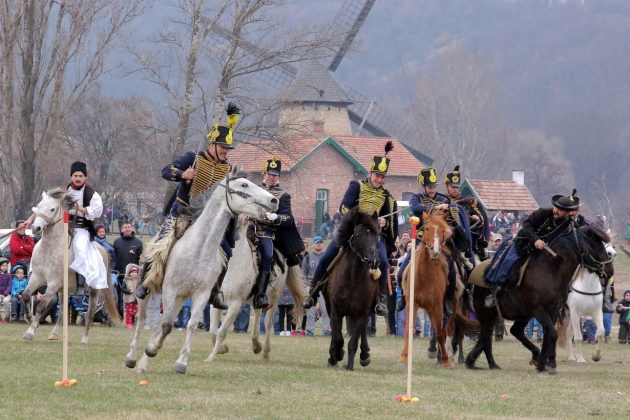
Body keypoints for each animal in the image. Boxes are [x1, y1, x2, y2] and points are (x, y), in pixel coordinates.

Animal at [22, 189, 121, 342]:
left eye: (52, 209)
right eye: (38, 206)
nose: (35, 228)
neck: (50, 249)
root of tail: (103, 249)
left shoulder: (53, 283)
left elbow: (41, 306)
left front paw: (30, 331)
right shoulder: (37, 278)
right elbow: (26, 295)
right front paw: (30, 319)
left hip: (94, 290)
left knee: (90, 313)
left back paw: (84, 339)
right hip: (64, 289)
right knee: (63, 311)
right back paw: (54, 334)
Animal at [126, 167, 278, 374]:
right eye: (244, 185)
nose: (273, 200)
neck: (200, 248)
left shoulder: (203, 294)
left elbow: (189, 325)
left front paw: (180, 362)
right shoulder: (170, 289)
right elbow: (166, 325)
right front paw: (152, 349)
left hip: (181, 298)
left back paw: (143, 364)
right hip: (151, 291)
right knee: (141, 320)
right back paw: (132, 357)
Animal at [207, 221, 308, 362]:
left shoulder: (235, 303)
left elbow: (221, 332)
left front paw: (212, 356)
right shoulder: (218, 301)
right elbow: (212, 331)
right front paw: (222, 349)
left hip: (274, 296)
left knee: (268, 323)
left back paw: (265, 352)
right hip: (253, 298)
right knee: (258, 312)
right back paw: (256, 345)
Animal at [326, 208, 380, 370]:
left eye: (377, 234)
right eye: (358, 235)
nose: (374, 262)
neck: (353, 278)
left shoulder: (361, 313)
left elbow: (353, 342)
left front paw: (349, 365)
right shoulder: (336, 310)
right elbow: (337, 337)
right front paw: (335, 355)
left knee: (362, 332)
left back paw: (365, 354)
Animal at [470, 226, 612, 374]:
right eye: (596, 246)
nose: (610, 270)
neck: (550, 271)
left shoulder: (555, 311)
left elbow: (550, 334)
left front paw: (546, 363)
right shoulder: (540, 310)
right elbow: (554, 333)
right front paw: (549, 363)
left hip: (521, 315)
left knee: (514, 331)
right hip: (486, 314)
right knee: (487, 337)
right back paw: (492, 364)